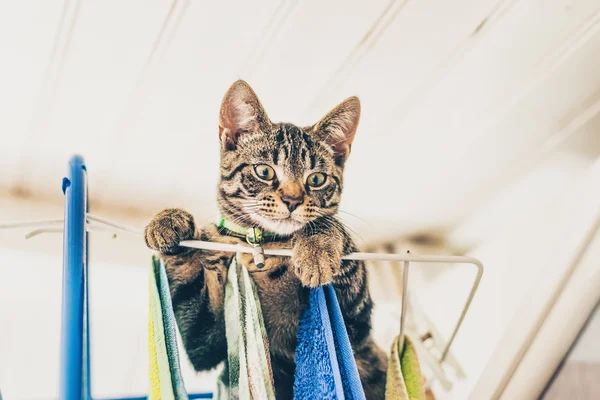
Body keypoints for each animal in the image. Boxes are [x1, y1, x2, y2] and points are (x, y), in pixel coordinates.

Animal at [145, 79, 390, 398]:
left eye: (316, 179)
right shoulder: (206, 340)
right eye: (264, 171)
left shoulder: (356, 323)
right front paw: (169, 220)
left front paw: (316, 248)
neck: (264, 245)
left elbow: (328, 224)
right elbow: (194, 306)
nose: (292, 200)